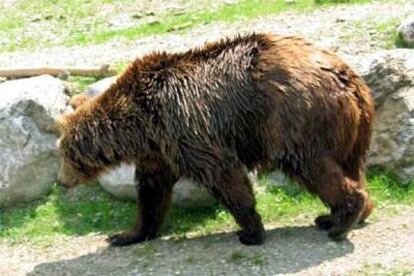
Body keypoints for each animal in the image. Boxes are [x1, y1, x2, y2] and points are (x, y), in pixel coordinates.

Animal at [56, 33, 376, 247]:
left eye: (64, 154)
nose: (60, 181)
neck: (141, 128)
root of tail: (347, 75)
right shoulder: (159, 151)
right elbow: (151, 193)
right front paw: (126, 235)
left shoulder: (185, 127)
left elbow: (224, 175)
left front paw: (250, 231)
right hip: (349, 131)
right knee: (349, 167)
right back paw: (341, 215)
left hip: (295, 118)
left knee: (311, 167)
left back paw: (343, 220)